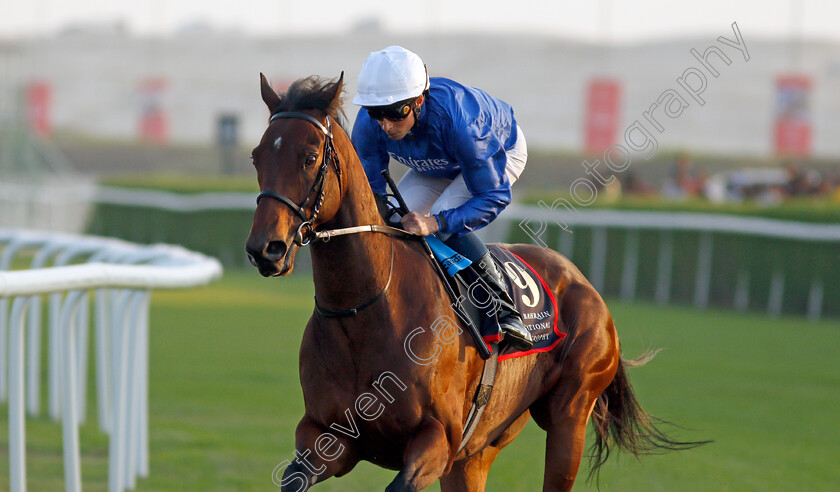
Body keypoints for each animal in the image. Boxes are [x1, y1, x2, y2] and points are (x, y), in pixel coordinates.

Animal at [244, 73, 704, 492]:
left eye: (309, 157)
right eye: (256, 156)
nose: (265, 249)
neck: (366, 309)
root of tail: (584, 284)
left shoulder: (437, 440)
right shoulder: (326, 436)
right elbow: (294, 477)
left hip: (568, 417)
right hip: (478, 451)